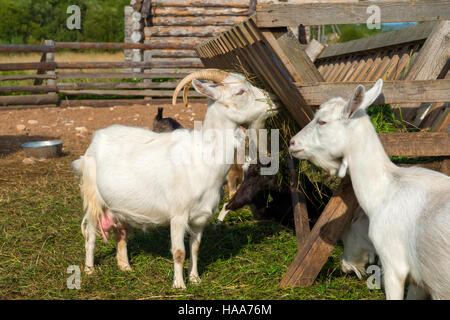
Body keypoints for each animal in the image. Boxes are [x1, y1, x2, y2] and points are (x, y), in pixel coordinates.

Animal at [71, 69, 278, 288]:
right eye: (240, 91)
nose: (273, 101)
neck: (203, 157)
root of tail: (96, 138)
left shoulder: (200, 217)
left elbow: (195, 248)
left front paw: (195, 279)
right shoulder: (178, 215)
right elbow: (179, 252)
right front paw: (179, 285)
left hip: (118, 205)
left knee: (121, 233)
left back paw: (125, 267)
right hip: (93, 197)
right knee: (90, 235)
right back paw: (90, 269)